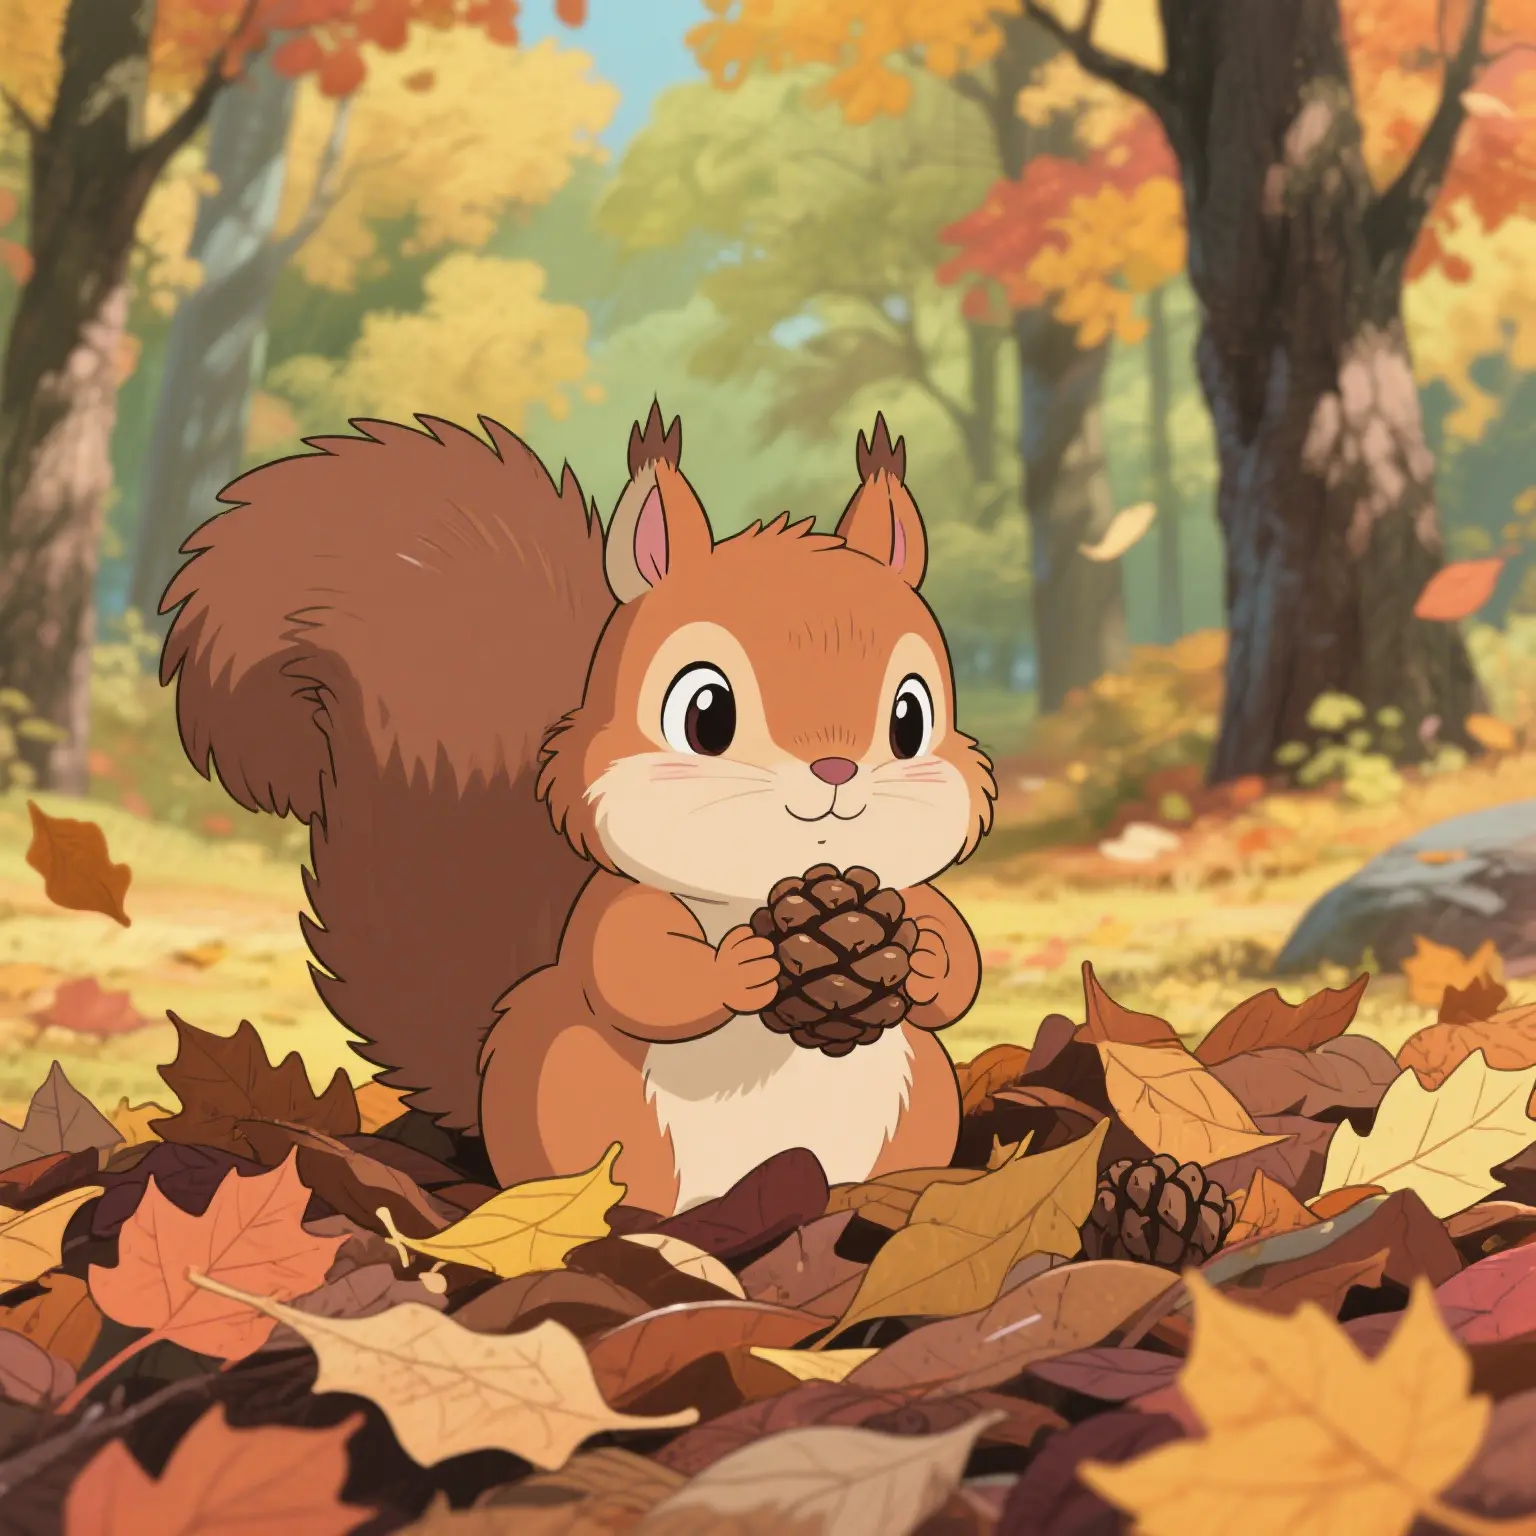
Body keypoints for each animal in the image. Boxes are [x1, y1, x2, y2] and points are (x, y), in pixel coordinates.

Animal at [159, 403, 997, 1215]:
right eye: (705, 713)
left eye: (911, 716)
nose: (836, 768)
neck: (765, 884)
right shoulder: (613, 906)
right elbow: (635, 973)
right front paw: (740, 964)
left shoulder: (909, 894)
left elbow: (957, 962)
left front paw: (927, 958)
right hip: (585, 1102)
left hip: (919, 1102)